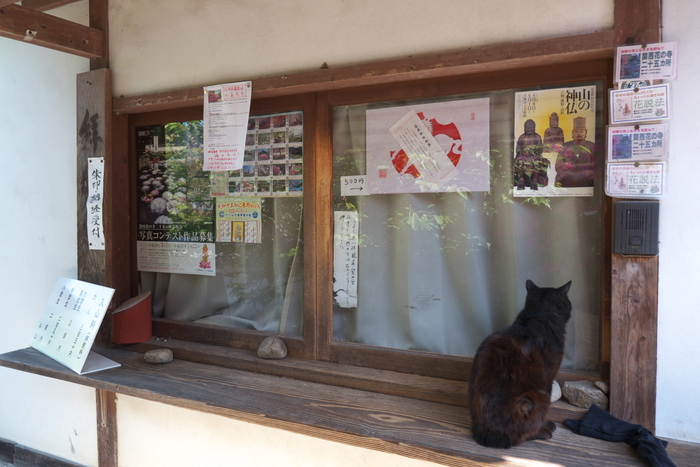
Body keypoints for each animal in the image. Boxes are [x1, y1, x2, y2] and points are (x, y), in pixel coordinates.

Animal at [468, 280, 572, 448]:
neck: (539, 317)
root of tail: (485, 435)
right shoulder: (548, 378)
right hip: (537, 397)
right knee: (521, 435)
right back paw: (543, 431)